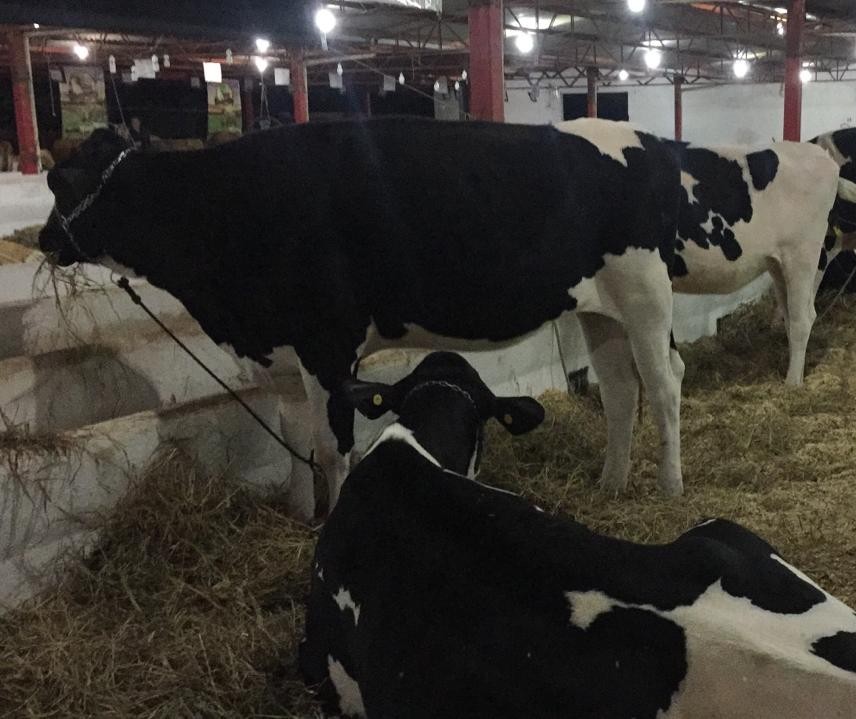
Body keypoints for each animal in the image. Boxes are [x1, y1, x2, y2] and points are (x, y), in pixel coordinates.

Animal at [40, 116, 684, 506]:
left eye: (56, 181)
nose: (46, 239)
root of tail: (637, 140)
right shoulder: (279, 349)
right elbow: (294, 436)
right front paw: (300, 513)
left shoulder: (328, 346)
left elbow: (332, 447)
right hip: (601, 311)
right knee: (621, 389)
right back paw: (611, 483)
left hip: (647, 298)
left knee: (665, 386)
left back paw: (670, 488)